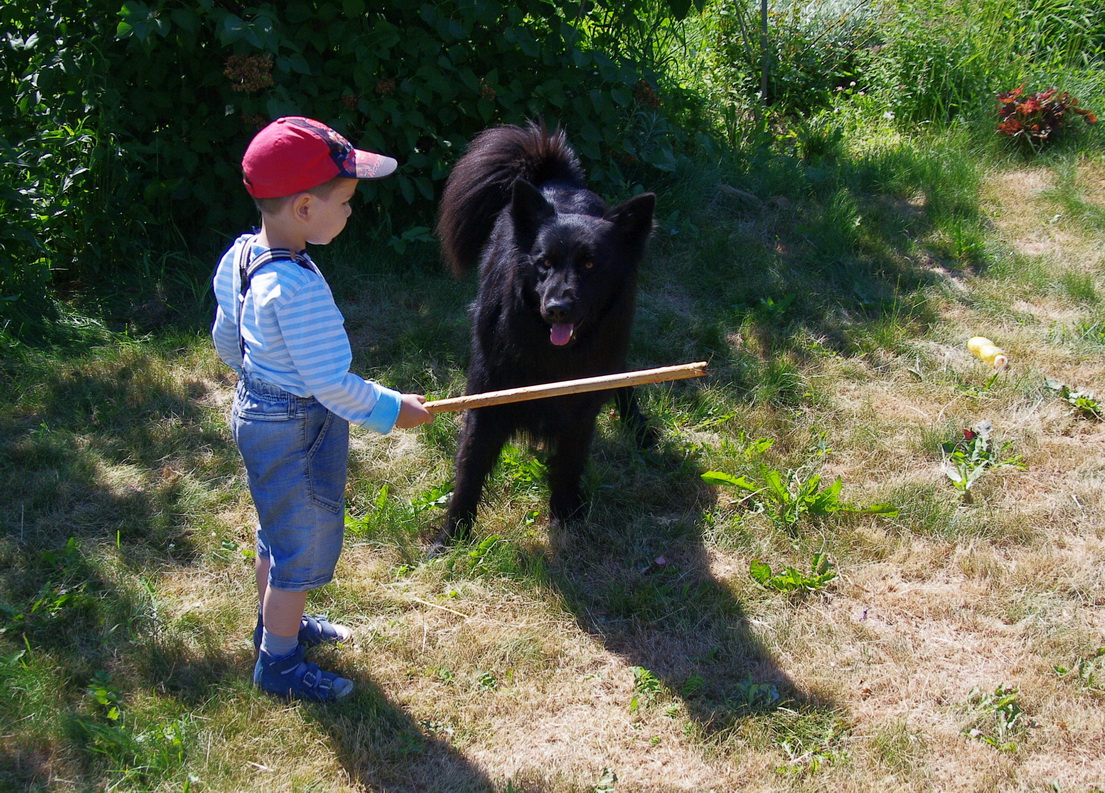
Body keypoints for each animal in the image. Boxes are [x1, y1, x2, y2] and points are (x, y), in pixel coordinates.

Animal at [430, 122, 654, 547]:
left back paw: (640, 429)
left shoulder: (581, 410)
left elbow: (568, 465)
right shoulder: (487, 401)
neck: (553, 356)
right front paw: (451, 537)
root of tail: (558, 178)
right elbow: (469, 471)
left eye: (589, 264)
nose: (557, 308)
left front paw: (566, 517)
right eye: (544, 263)